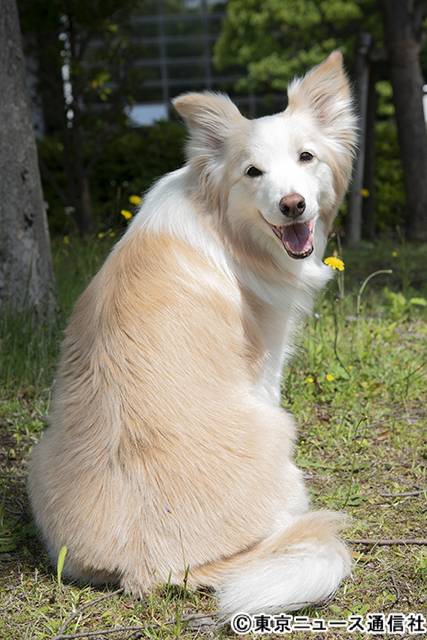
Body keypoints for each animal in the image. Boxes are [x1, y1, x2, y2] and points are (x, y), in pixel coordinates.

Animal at [27, 53, 358, 616]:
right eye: (253, 172)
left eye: (306, 157)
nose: (293, 205)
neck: (223, 220)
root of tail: (151, 568)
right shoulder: (266, 364)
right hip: (277, 431)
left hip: (38, 458)